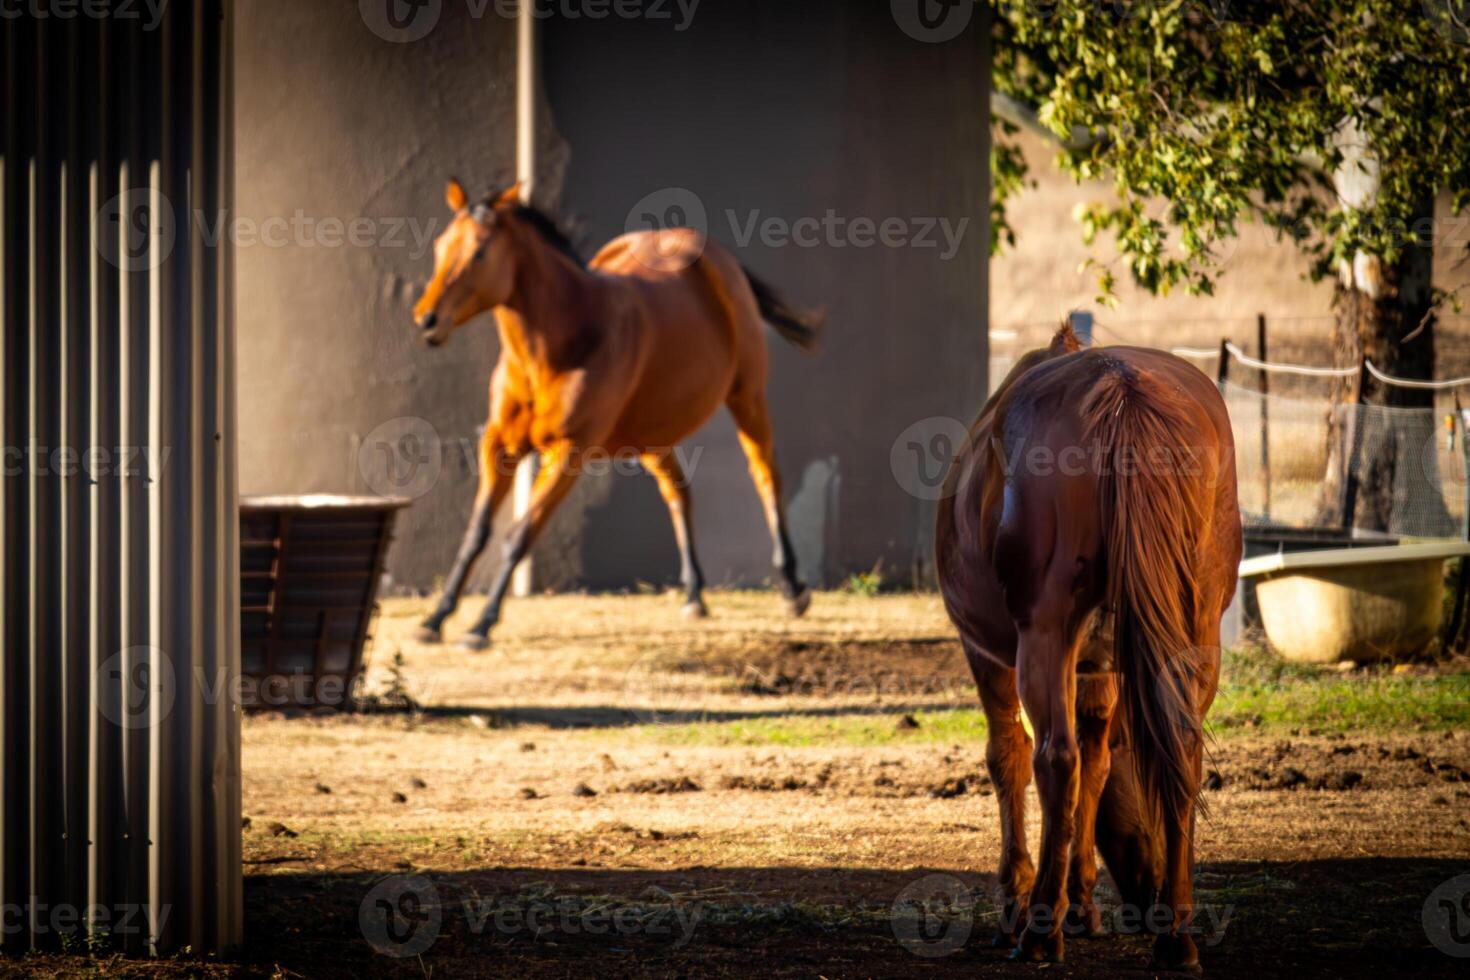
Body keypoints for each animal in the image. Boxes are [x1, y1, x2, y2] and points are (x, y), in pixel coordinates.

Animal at [408, 179, 829, 646]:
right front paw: (435, 619)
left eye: (480, 251)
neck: (563, 344)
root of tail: (715, 256)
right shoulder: (501, 444)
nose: (426, 319)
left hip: (746, 397)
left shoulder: (568, 452)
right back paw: (693, 596)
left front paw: (481, 626)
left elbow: (520, 535)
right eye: (441, 245)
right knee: (678, 491)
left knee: (765, 476)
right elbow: (476, 534)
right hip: (652, 432)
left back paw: (792, 589)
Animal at [934, 323, 1234, 975]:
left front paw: (1021, 900)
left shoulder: (988, 655)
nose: (1144, 891)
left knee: (1054, 757)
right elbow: (1096, 772)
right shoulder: (1102, 673)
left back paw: (1040, 930)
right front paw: (1082, 899)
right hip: (1197, 635)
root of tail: (1121, 391)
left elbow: (1011, 758)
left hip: (1043, 638)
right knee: (1181, 751)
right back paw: (1177, 938)